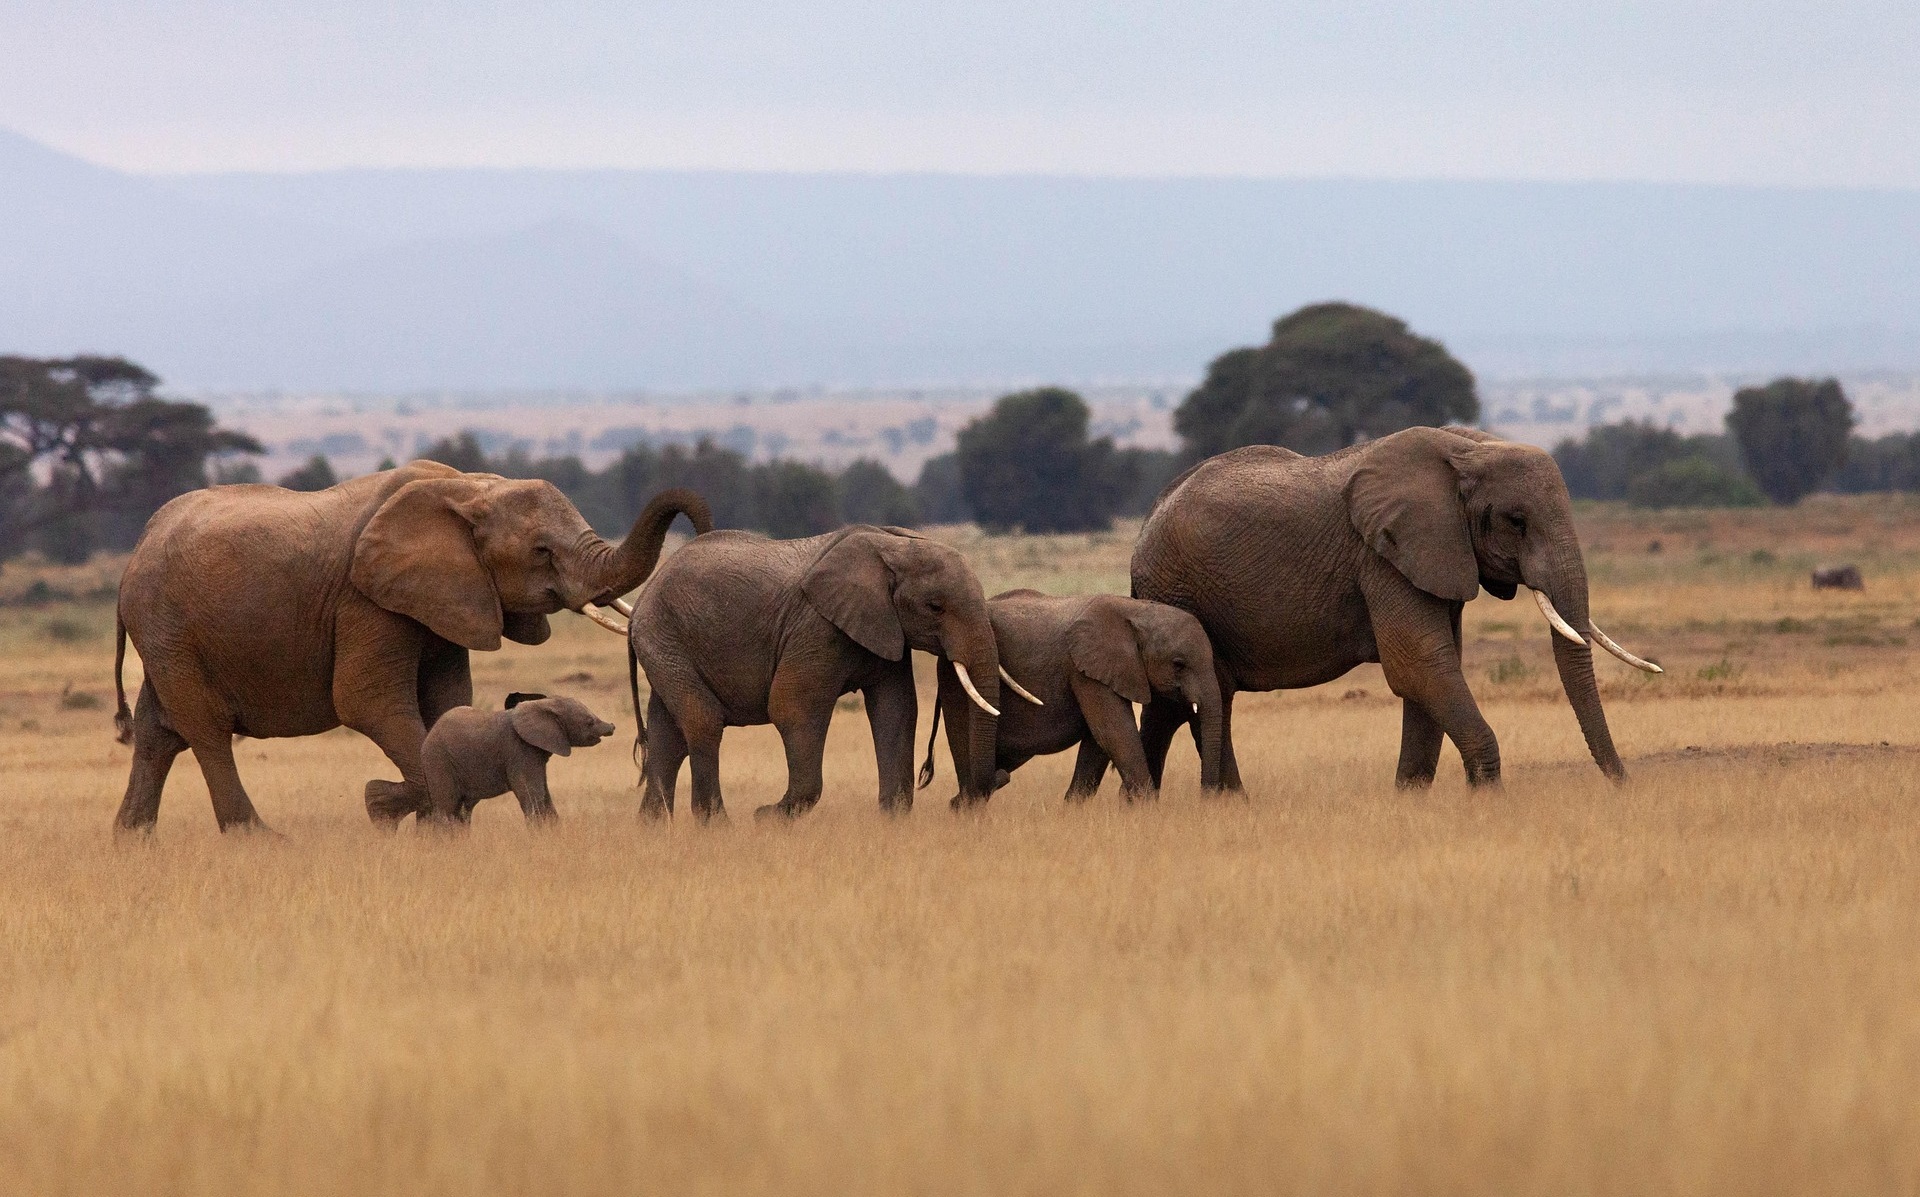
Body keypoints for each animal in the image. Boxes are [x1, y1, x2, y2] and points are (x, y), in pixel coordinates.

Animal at [419, 696, 616, 825]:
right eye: (589, 722)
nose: (612, 726)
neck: (545, 704)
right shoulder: (519, 749)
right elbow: (530, 793)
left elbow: (544, 794)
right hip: (438, 759)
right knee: (447, 807)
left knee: (463, 811)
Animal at [627, 524, 1020, 820]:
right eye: (935, 607)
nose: (999, 775)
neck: (894, 545)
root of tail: (644, 596)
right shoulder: (817, 626)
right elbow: (792, 708)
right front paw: (766, 817)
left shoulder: (885, 629)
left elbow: (896, 710)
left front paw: (892, 820)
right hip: (664, 638)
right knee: (703, 721)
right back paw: (718, 826)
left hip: (666, 646)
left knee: (667, 736)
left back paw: (655, 831)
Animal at [918, 590, 1225, 805]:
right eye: (1178, 664)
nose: (1206, 800)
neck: (1137, 610)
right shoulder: (1085, 669)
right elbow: (1114, 733)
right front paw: (1147, 810)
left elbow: (1098, 742)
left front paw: (1073, 810)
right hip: (954, 680)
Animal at [1130, 426, 1662, 790]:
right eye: (1516, 521)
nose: (1622, 785)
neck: (1467, 449)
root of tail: (1147, 521)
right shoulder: (1382, 557)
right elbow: (1422, 665)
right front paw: (1487, 796)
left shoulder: (1435, 555)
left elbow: (1435, 669)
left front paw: (1409, 798)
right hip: (1176, 588)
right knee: (1203, 700)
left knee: (1184, 704)